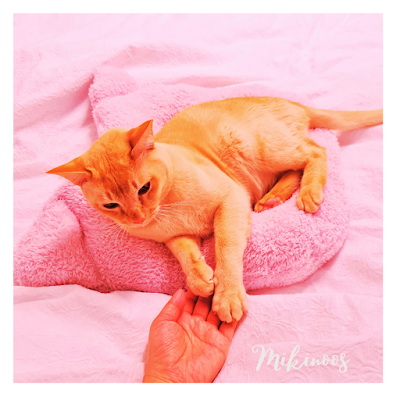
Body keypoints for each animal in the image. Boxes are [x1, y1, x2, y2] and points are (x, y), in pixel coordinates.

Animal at [47, 97, 383, 323]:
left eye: (144, 188)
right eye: (111, 205)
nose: (137, 218)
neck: (167, 210)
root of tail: (288, 100)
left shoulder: (231, 201)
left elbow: (226, 247)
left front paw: (227, 295)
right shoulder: (174, 237)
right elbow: (184, 253)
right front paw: (199, 278)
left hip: (260, 147)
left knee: (315, 152)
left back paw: (309, 193)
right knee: (294, 169)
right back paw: (272, 199)